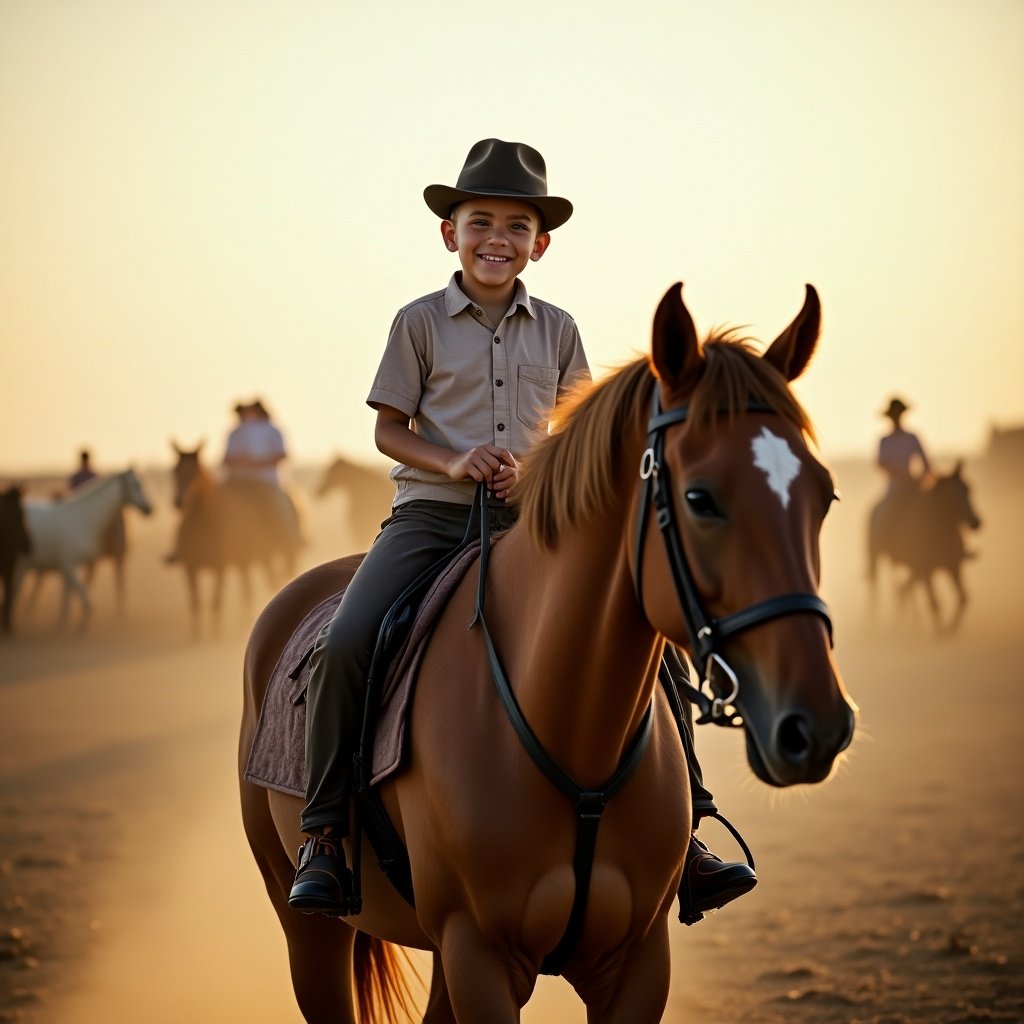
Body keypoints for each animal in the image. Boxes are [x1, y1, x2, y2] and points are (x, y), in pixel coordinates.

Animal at [17, 473, 153, 630]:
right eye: (136, 484)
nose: (149, 508)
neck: (85, 521)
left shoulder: (70, 569)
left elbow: (67, 604)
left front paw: (62, 627)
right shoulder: (69, 566)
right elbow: (85, 602)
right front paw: (79, 628)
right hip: (21, 569)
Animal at [167, 444, 301, 634]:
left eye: (194, 472)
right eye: (174, 471)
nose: (179, 502)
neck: (203, 524)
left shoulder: (220, 568)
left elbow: (216, 600)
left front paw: (216, 633)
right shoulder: (190, 568)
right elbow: (195, 602)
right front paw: (196, 634)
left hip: (285, 552)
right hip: (253, 560)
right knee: (251, 589)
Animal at [239, 282, 856, 1024]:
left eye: (825, 495)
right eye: (701, 498)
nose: (816, 725)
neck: (566, 724)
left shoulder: (634, 964)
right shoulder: (481, 958)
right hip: (309, 930)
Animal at [868, 462, 978, 630]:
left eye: (969, 489)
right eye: (953, 496)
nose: (976, 522)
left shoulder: (954, 565)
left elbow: (963, 598)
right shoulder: (926, 571)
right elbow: (935, 604)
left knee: (906, 590)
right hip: (874, 554)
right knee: (876, 586)